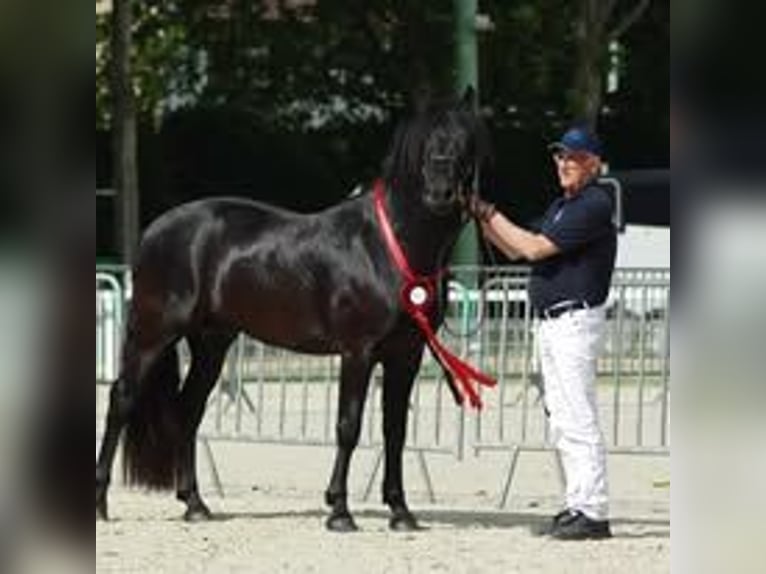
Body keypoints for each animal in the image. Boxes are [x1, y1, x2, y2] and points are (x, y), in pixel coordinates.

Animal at [95, 87, 491, 531]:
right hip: (153, 334)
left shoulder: (406, 355)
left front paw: (401, 512)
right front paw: (339, 512)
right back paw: (101, 504)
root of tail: (153, 231)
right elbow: (349, 426)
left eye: (466, 141)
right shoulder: (358, 352)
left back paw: (195, 504)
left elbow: (395, 430)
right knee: (121, 400)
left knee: (188, 409)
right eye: (425, 143)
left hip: (211, 343)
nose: (440, 193)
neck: (387, 248)